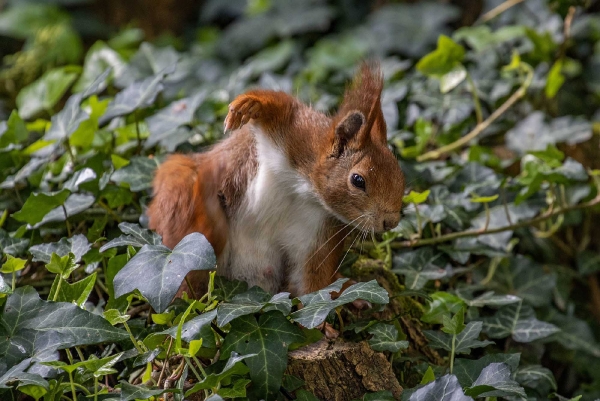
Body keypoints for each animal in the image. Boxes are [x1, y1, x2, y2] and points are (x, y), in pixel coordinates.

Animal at [148, 62, 406, 296]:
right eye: (358, 180)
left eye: (399, 172)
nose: (391, 222)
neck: (303, 189)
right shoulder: (295, 132)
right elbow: (280, 105)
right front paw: (249, 104)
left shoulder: (316, 233)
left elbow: (311, 284)